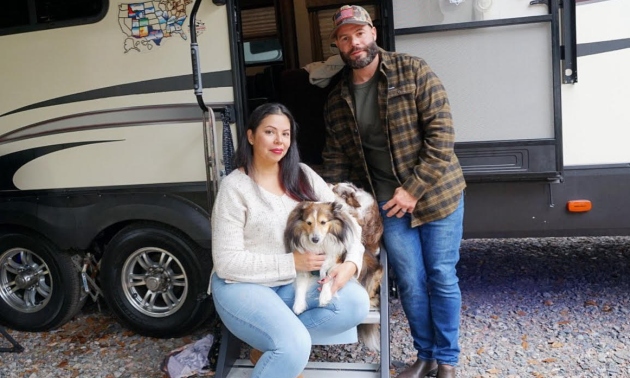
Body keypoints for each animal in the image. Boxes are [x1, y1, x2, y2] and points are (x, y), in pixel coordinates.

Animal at [286, 186, 386, 352]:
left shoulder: (338, 262)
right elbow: (300, 285)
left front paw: (325, 295)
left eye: (323, 222)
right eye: (308, 223)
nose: (315, 239)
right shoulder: (304, 265)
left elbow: (330, 276)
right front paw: (298, 305)